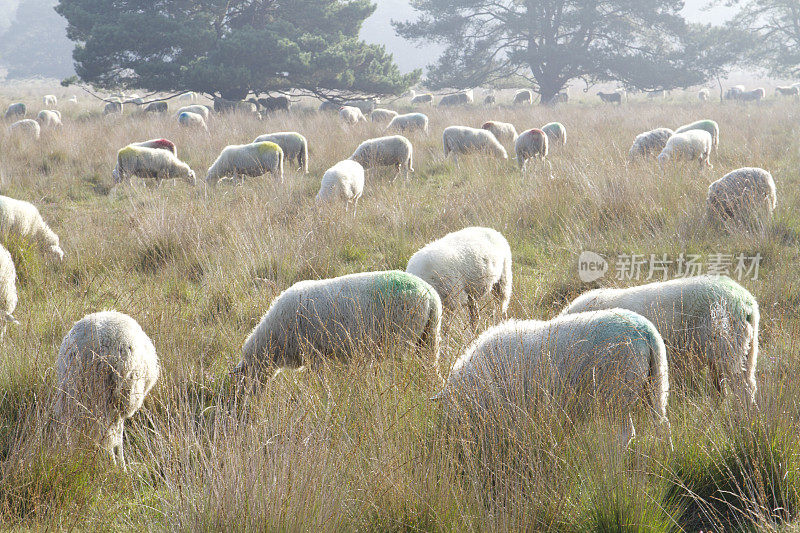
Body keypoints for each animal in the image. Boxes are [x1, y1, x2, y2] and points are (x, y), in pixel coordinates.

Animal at [434, 308, 672, 448]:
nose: (448, 440)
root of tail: (646, 331)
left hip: (617, 392)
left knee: (625, 434)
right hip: (654, 384)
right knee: (662, 424)